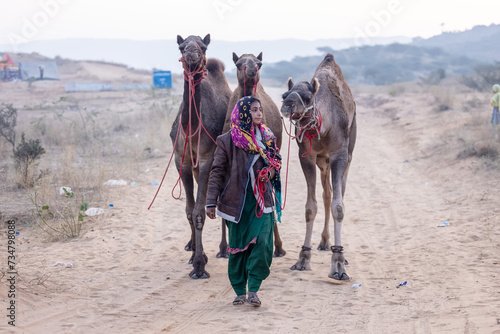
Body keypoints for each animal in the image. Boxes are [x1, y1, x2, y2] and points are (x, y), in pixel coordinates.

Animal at [282, 54, 356, 280]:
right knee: (327, 194)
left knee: (338, 194)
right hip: (323, 162)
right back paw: (324, 242)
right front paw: (303, 258)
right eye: (284, 94)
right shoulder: (306, 156)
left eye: (307, 97)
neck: (325, 126)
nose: (287, 104)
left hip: (348, 153)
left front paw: (339, 264)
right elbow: (310, 206)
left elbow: (339, 207)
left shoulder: (340, 155)